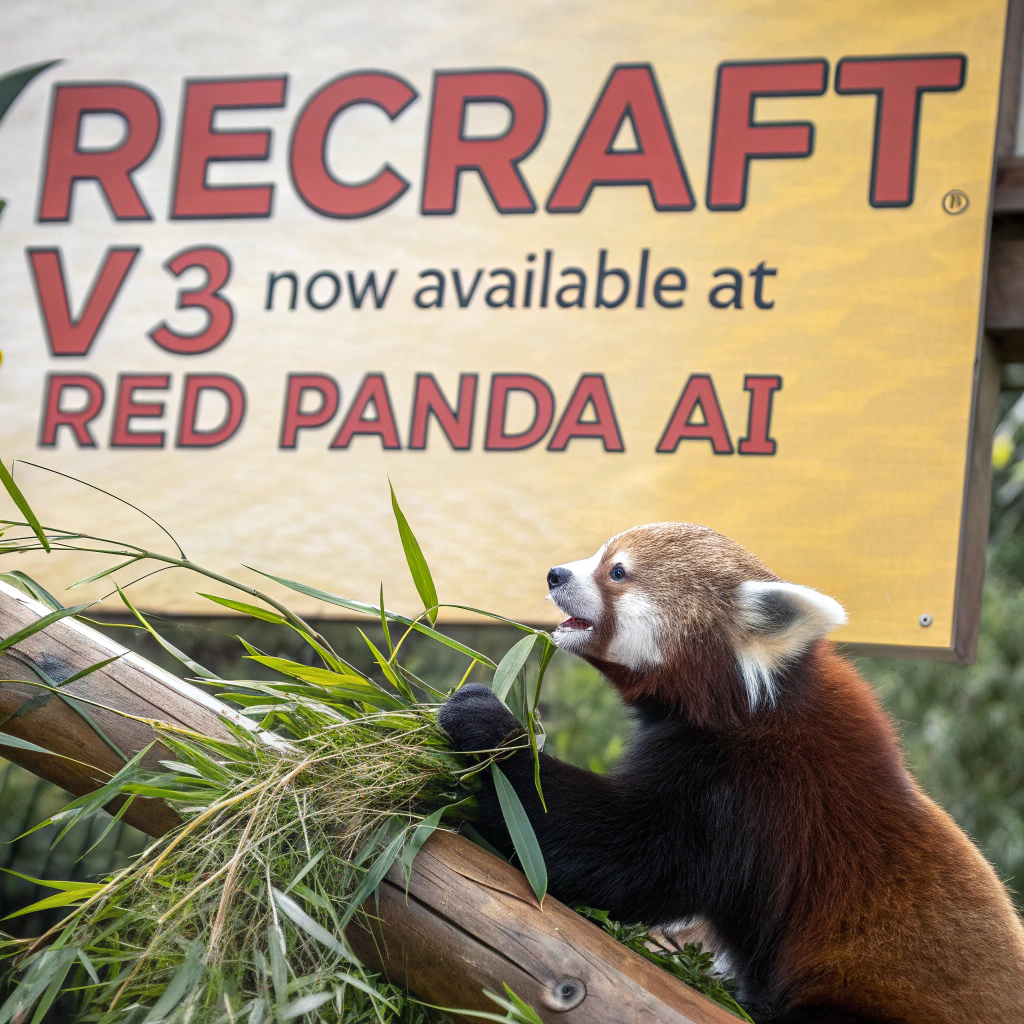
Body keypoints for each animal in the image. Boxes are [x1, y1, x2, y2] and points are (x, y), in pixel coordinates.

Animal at [439, 522, 1024, 1024]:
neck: (752, 704)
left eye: (617, 572)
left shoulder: (757, 790)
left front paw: (488, 728)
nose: (555, 575)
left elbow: (625, 852)